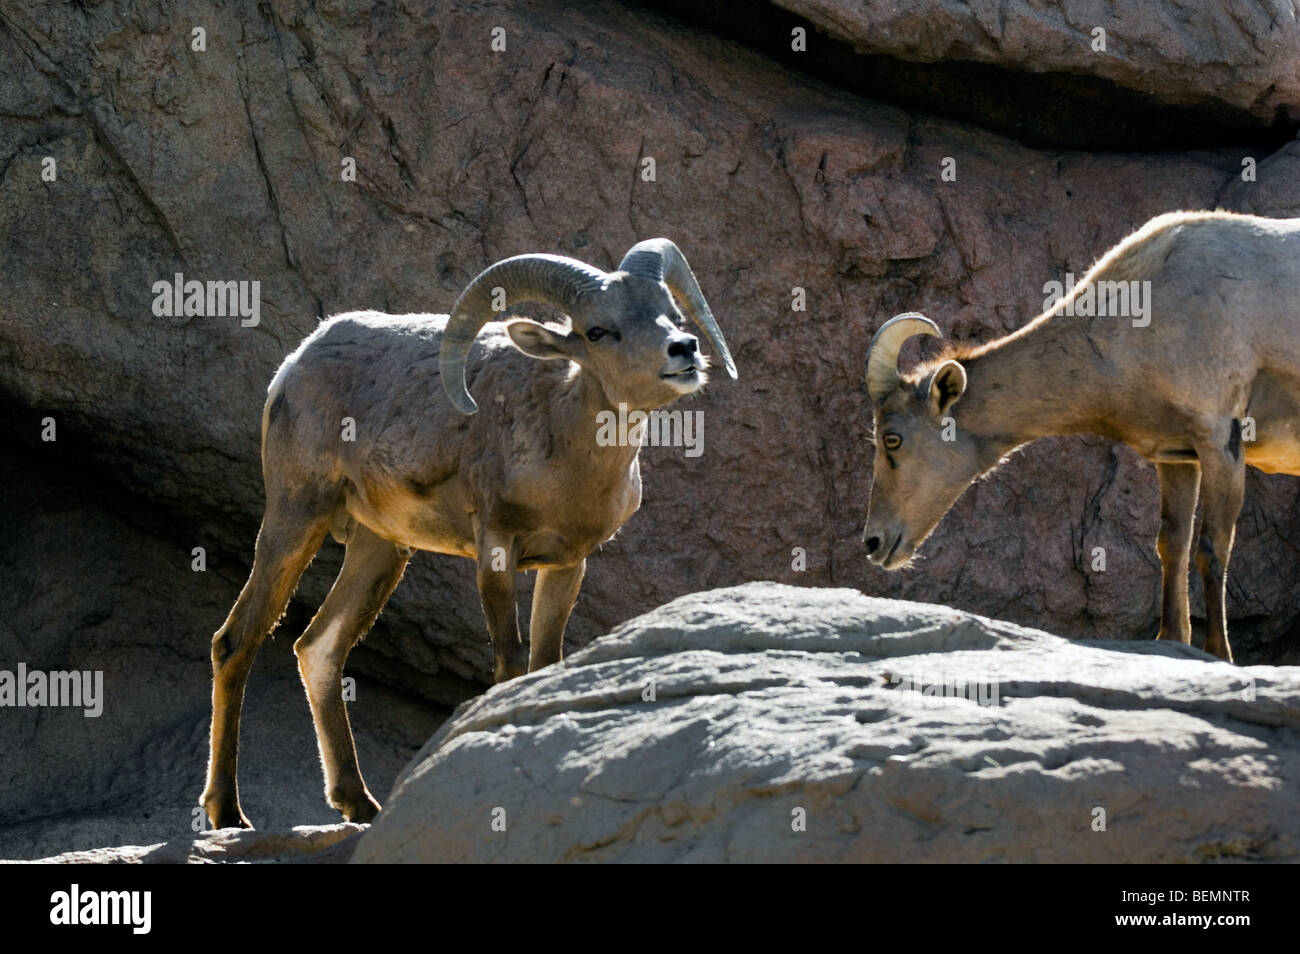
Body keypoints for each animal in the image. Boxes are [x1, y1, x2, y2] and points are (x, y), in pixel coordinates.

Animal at [200, 239, 733, 831]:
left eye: (672, 313)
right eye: (597, 331)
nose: (683, 350)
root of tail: (295, 364)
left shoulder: (566, 564)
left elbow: (545, 665)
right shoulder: (495, 551)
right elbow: (509, 663)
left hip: (380, 549)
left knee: (318, 647)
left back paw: (359, 804)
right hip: (297, 516)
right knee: (237, 640)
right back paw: (228, 813)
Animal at [868, 207, 1300, 665]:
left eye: (892, 439)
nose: (874, 542)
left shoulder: (1221, 441)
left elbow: (1212, 548)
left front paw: (1220, 654)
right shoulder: (1178, 457)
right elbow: (1173, 544)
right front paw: (1171, 640)